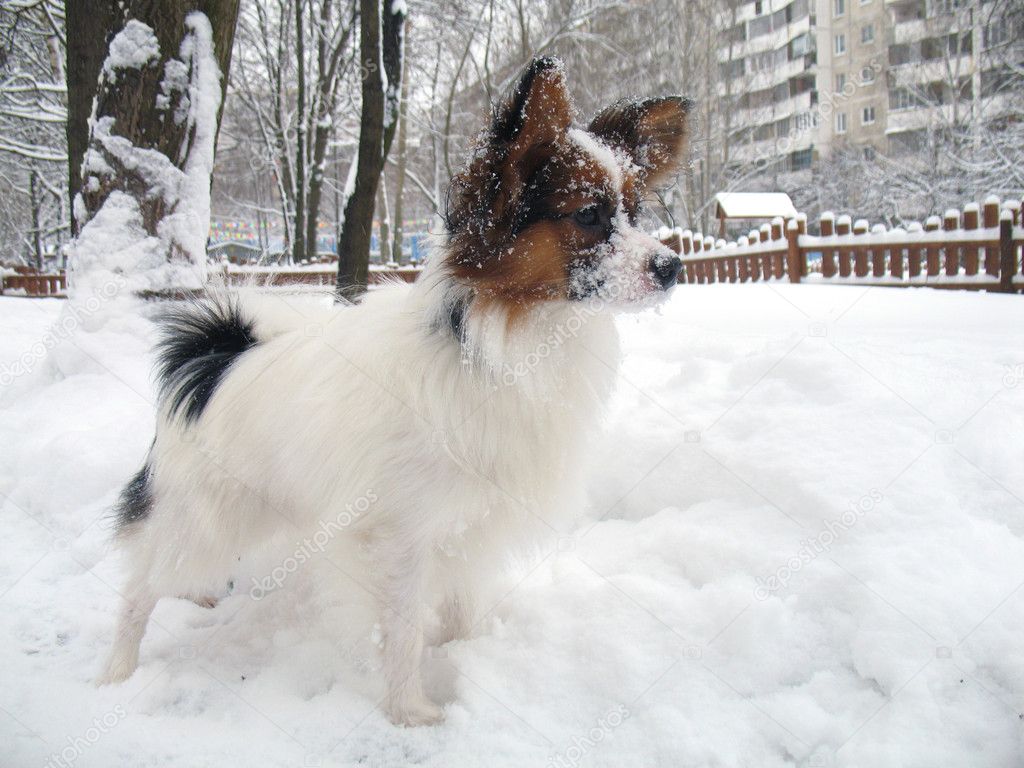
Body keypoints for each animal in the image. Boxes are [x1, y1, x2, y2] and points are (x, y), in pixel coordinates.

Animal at [99, 57, 688, 724]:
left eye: (635, 213)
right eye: (589, 214)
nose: (673, 266)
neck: (497, 345)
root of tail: (219, 355)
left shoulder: (465, 523)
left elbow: (460, 605)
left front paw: (464, 656)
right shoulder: (397, 536)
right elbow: (401, 630)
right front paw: (411, 712)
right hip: (205, 516)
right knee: (139, 587)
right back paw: (116, 674)